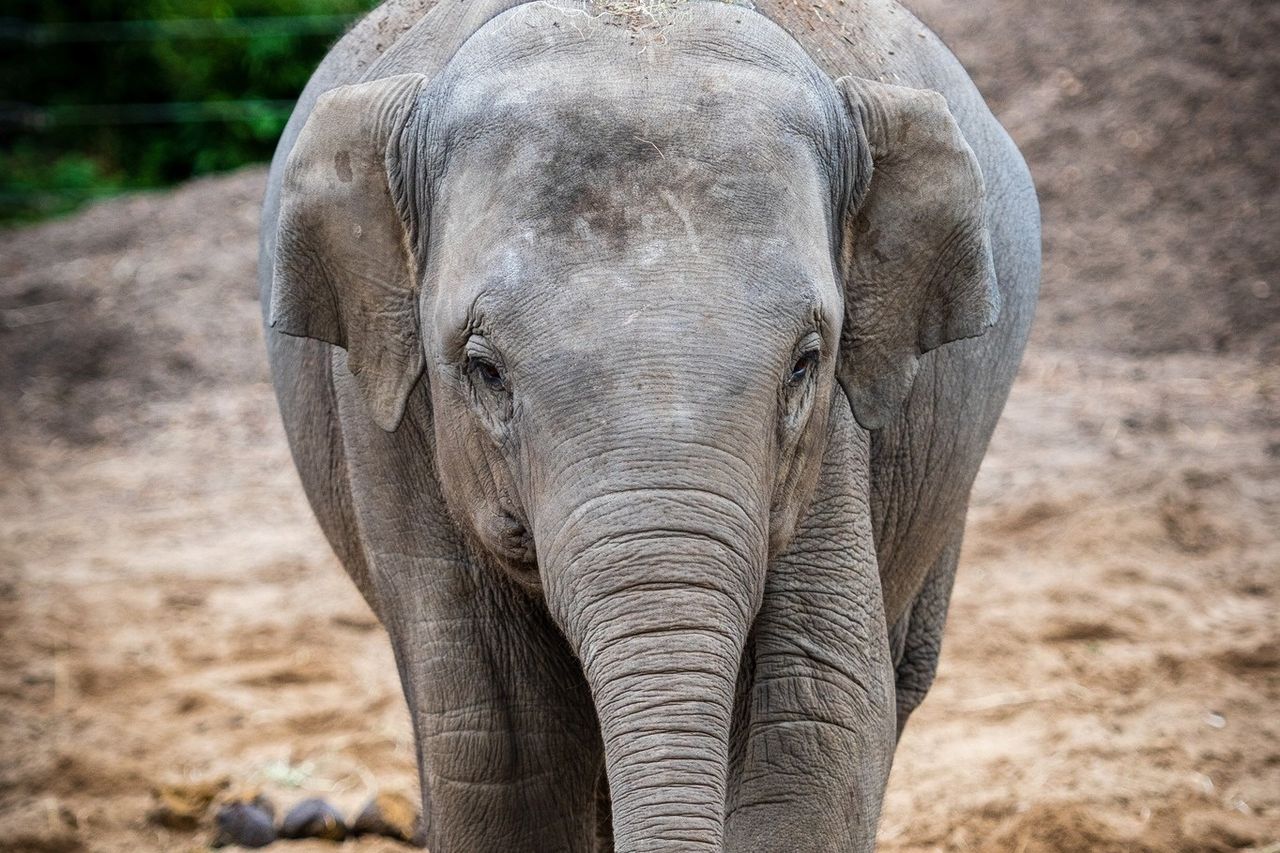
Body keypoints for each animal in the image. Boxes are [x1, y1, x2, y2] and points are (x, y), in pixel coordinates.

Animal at [257, 0, 1039, 845]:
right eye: (484, 369)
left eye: (805, 362)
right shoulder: (387, 415)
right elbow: (501, 745)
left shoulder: (835, 435)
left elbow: (812, 721)